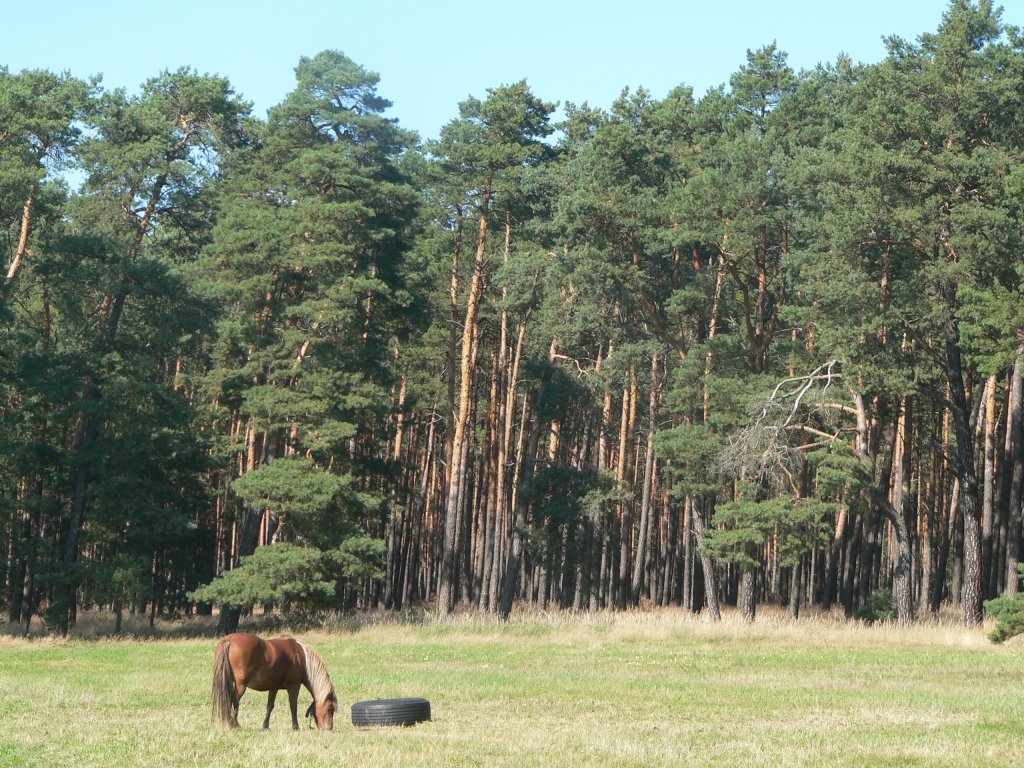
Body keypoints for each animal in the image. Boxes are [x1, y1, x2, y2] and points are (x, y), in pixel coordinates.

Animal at [209, 630, 337, 733]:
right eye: (329, 709)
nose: (329, 728)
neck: (302, 659)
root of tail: (228, 640)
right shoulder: (294, 686)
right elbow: (293, 705)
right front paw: (296, 727)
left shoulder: (273, 687)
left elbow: (270, 706)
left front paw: (265, 726)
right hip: (241, 686)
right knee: (234, 701)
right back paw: (234, 724)